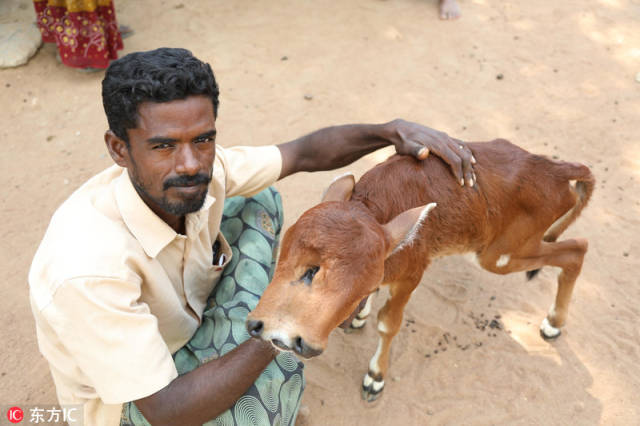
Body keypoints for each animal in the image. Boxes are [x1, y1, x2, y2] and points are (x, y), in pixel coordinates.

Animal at [246, 139, 596, 400]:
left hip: (500, 255)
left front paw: (376, 376)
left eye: (361, 288)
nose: (296, 341)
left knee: (577, 249)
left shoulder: (412, 275)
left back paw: (553, 323)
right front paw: (360, 317)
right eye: (309, 268)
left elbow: (388, 324)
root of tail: (557, 169)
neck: (376, 207)